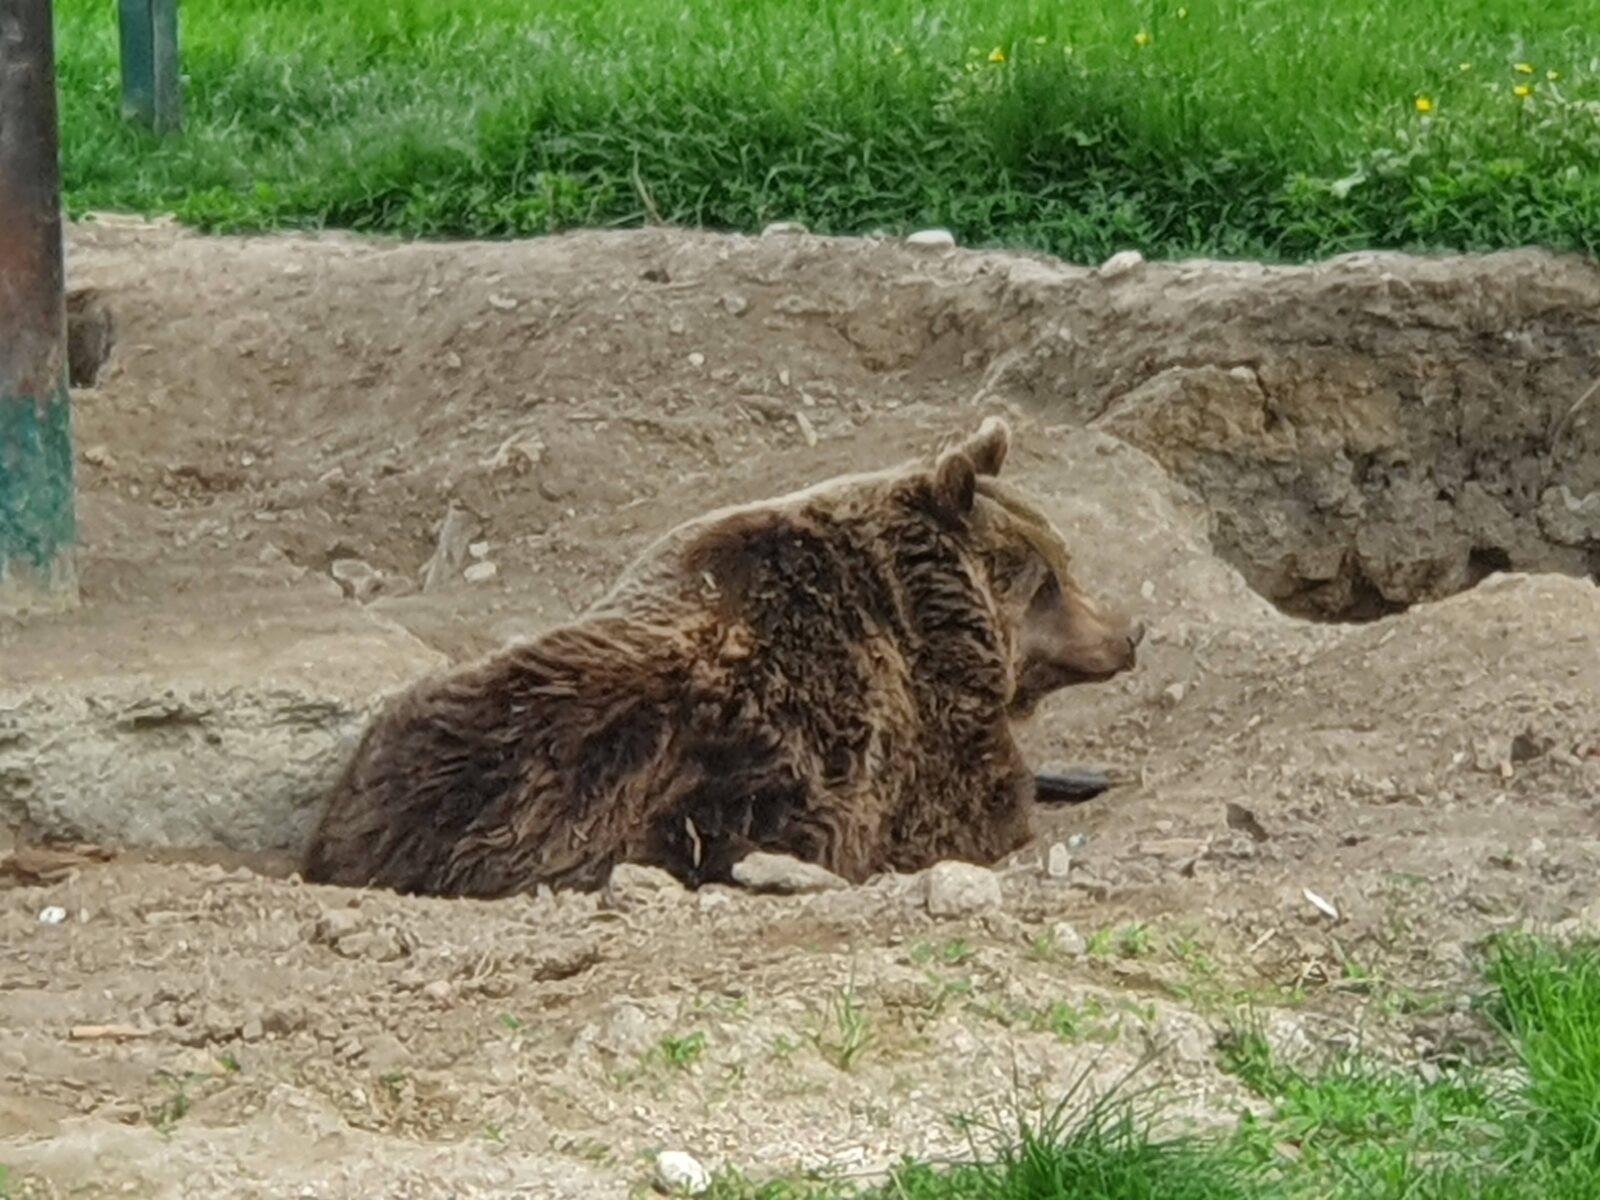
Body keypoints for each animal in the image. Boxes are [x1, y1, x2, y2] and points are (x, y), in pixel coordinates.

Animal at [301, 417, 1142, 898]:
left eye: (1063, 559)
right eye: (1048, 580)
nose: (1129, 630)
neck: (923, 618)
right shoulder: (903, 750)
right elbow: (989, 803)